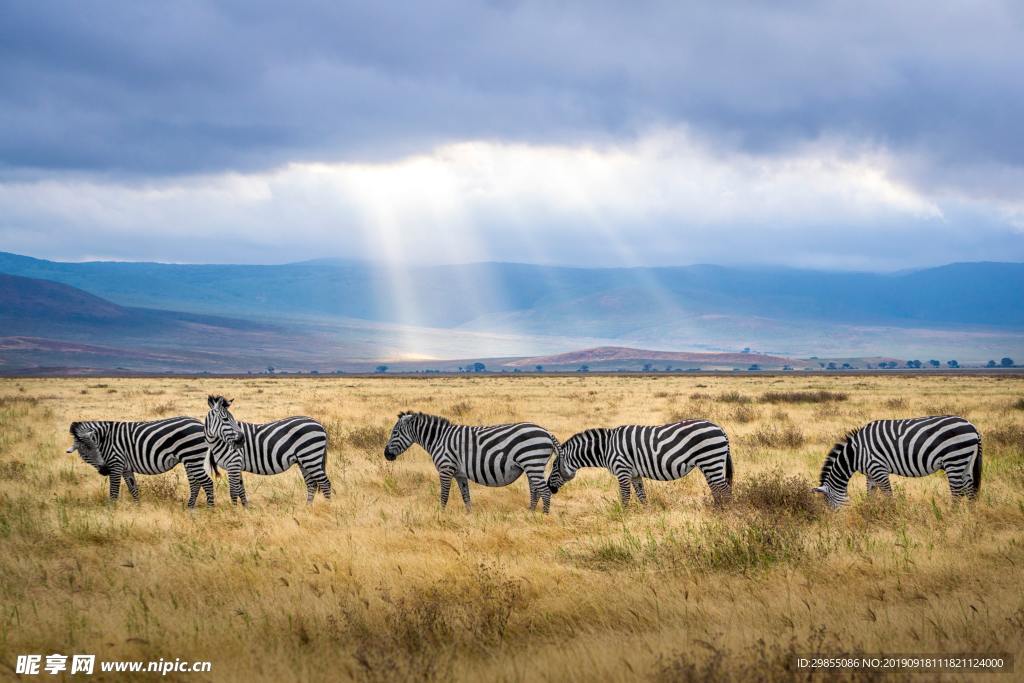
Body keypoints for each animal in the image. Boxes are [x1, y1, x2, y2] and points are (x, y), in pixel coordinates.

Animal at [66, 417, 214, 507]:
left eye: (96, 448)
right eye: (85, 452)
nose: (104, 470)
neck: (105, 440)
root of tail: (200, 423)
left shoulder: (116, 463)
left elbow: (114, 491)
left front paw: (111, 511)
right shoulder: (125, 468)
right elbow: (133, 488)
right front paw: (138, 507)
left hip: (192, 457)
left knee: (207, 482)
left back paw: (210, 509)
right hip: (190, 460)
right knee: (195, 483)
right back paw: (190, 508)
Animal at [205, 395, 333, 507]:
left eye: (232, 419)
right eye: (225, 419)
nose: (242, 440)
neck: (219, 441)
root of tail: (319, 424)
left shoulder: (234, 463)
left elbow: (233, 491)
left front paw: (234, 511)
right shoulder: (236, 465)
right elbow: (241, 490)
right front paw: (246, 509)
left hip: (311, 457)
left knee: (325, 483)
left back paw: (328, 506)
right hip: (304, 461)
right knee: (312, 484)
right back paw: (307, 508)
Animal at [385, 411, 561, 511]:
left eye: (394, 433)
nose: (386, 454)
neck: (439, 439)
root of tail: (547, 432)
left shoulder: (445, 469)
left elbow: (444, 495)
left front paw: (441, 515)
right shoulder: (460, 474)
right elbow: (466, 496)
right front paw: (469, 516)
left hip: (532, 462)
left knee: (544, 491)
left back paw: (543, 517)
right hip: (532, 466)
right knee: (535, 490)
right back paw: (530, 513)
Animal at [548, 419, 733, 505]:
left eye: (554, 466)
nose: (550, 488)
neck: (606, 448)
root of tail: (720, 428)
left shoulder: (622, 470)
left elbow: (625, 496)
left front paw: (623, 517)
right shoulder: (634, 473)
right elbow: (641, 495)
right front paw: (646, 514)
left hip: (710, 459)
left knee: (724, 489)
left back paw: (726, 513)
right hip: (709, 464)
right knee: (716, 488)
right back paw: (717, 510)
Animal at [811, 417, 978, 507]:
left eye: (829, 504)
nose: (834, 521)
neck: (855, 453)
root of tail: (972, 426)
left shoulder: (879, 469)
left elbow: (888, 495)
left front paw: (892, 513)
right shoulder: (870, 473)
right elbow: (870, 494)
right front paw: (869, 512)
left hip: (954, 459)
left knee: (957, 492)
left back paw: (951, 516)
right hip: (966, 461)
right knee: (970, 489)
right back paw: (970, 517)